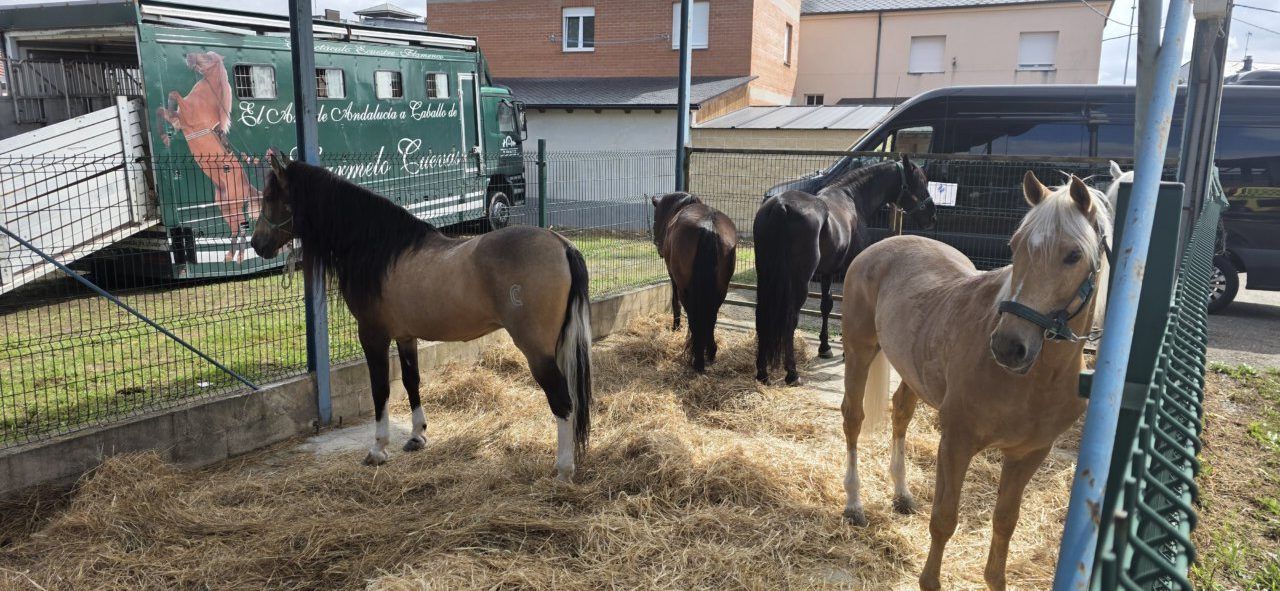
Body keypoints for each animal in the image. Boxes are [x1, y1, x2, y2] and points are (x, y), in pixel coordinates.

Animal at [157, 51, 260, 264]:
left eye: (207, 56)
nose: (188, 57)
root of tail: (247, 183)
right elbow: (162, 110)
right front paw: (165, 133)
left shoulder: (187, 115)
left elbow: (174, 95)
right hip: (224, 206)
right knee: (235, 228)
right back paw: (230, 256)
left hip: (233, 206)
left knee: (241, 227)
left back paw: (239, 256)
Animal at [250, 153, 593, 481]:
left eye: (269, 196)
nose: (256, 244)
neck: (378, 249)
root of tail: (562, 244)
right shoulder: (405, 336)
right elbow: (411, 381)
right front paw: (417, 436)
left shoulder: (372, 335)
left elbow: (381, 389)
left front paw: (378, 449)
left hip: (537, 351)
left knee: (563, 402)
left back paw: (563, 471)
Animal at [651, 192, 738, 372]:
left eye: (655, 220)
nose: (658, 247)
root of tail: (708, 226)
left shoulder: (673, 277)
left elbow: (675, 302)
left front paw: (676, 327)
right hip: (720, 290)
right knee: (711, 317)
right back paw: (710, 352)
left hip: (685, 288)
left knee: (693, 316)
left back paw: (697, 358)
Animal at [753, 154, 936, 386]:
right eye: (920, 183)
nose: (932, 217)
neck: (852, 198)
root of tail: (781, 206)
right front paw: (843, 352)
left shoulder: (827, 272)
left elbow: (826, 305)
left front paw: (825, 348)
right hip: (798, 280)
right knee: (790, 318)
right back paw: (792, 374)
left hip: (766, 274)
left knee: (761, 313)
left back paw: (762, 373)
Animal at [838, 171, 1114, 591]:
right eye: (1015, 247)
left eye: (1073, 255)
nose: (1009, 346)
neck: (1033, 382)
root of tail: (884, 244)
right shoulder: (957, 442)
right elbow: (944, 519)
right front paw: (930, 582)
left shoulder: (1029, 454)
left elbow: (1005, 522)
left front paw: (994, 579)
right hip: (859, 350)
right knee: (853, 419)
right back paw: (854, 503)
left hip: (912, 371)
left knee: (900, 414)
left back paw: (901, 493)